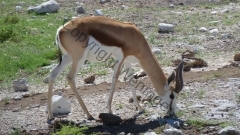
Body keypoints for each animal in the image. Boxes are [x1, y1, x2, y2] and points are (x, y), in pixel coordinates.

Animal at [45, 16, 184, 120]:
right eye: (172, 95)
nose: (172, 112)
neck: (134, 36)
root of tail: (60, 30)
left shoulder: (128, 61)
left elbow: (131, 80)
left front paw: (140, 108)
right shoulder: (120, 58)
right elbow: (115, 79)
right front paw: (110, 111)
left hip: (68, 58)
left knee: (52, 74)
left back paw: (50, 115)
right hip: (78, 59)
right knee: (70, 77)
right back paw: (89, 115)